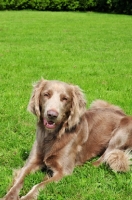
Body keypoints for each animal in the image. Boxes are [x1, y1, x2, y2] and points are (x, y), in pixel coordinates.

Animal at [3, 79, 132, 199]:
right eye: (46, 94)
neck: (51, 136)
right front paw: (9, 196)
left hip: (122, 129)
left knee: (104, 156)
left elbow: (39, 185)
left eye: (65, 98)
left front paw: (27, 197)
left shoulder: (64, 171)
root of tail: (123, 113)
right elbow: (19, 180)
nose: (52, 114)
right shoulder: (31, 162)